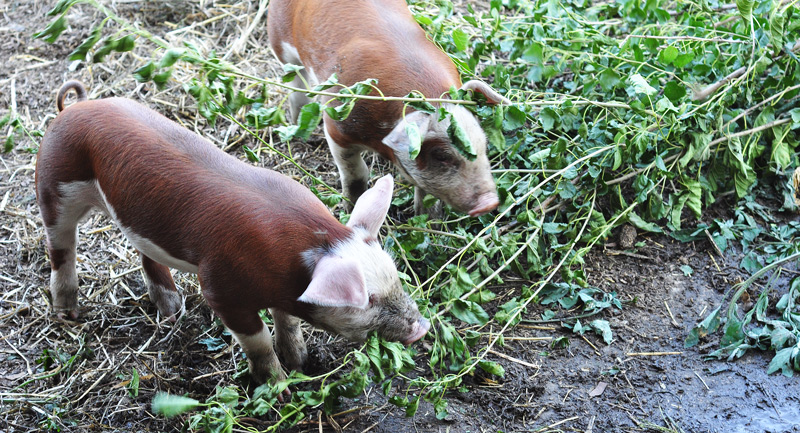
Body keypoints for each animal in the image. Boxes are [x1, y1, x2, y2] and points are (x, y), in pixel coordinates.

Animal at [36, 80, 429, 394]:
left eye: (396, 279)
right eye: (367, 300)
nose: (421, 327)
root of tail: (73, 108)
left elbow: (287, 322)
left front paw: (301, 362)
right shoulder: (220, 288)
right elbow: (258, 341)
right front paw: (279, 390)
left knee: (142, 248)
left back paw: (172, 310)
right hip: (55, 183)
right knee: (60, 246)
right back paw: (69, 314)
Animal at [267, 0, 510, 217]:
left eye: (484, 143)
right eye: (441, 155)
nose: (490, 202)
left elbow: (426, 195)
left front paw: (428, 221)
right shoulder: (336, 126)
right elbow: (355, 173)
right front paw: (350, 208)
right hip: (281, 43)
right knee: (296, 84)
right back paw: (297, 127)